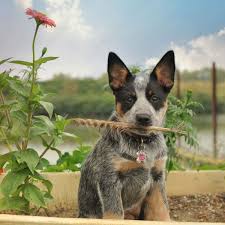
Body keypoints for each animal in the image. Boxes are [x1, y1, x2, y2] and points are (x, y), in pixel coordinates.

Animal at [78, 50, 175, 221]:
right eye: (129, 99)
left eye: (154, 98)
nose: (143, 118)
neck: (142, 143)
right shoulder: (109, 179)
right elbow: (114, 214)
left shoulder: (157, 177)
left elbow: (162, 210)